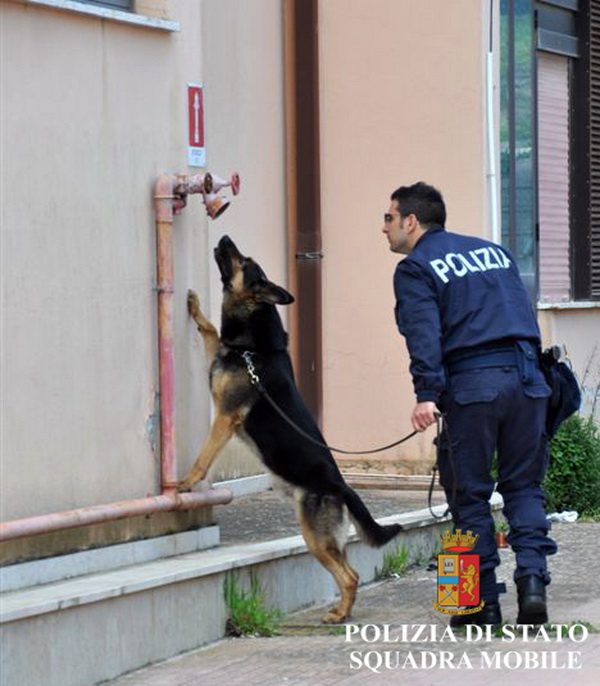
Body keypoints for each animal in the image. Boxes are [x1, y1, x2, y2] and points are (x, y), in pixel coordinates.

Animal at [180, 235, 400, 624]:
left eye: (243, 261)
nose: (224, 237)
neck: (252, 350)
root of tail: (342, 486)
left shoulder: (225, 416)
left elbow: (203, 457)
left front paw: (187, 484)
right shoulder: (220, 354)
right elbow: (209, 329)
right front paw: (194, 305)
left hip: (314, 535)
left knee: (349, 575)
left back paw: (339, 616)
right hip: (322, 537)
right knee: (351, 571)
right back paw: (340, 611)